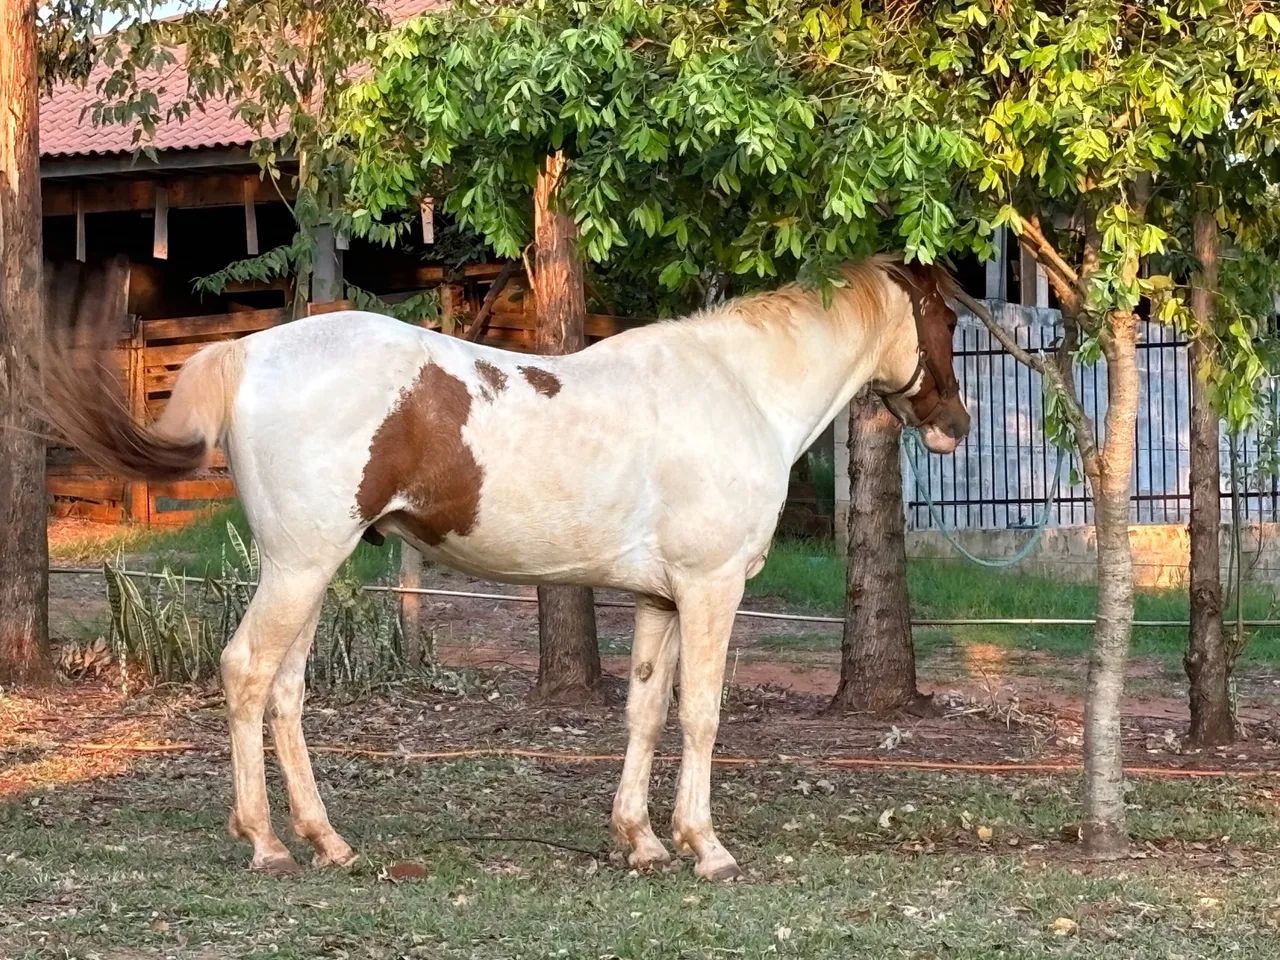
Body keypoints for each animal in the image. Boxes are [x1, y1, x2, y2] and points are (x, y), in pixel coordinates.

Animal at [43, 255, 971, 881]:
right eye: (948, 323)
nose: (956, 424)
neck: (736, 390)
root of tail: (252, 352)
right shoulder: (711, 590)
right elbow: (702, 716)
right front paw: (704, 847)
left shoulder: (661, 600)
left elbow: (644, 714)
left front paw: (639, 840)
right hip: (300, 565)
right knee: (245, 672)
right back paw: (266, 842)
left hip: (307, 568)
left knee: (285, 690)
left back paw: (326, 840)